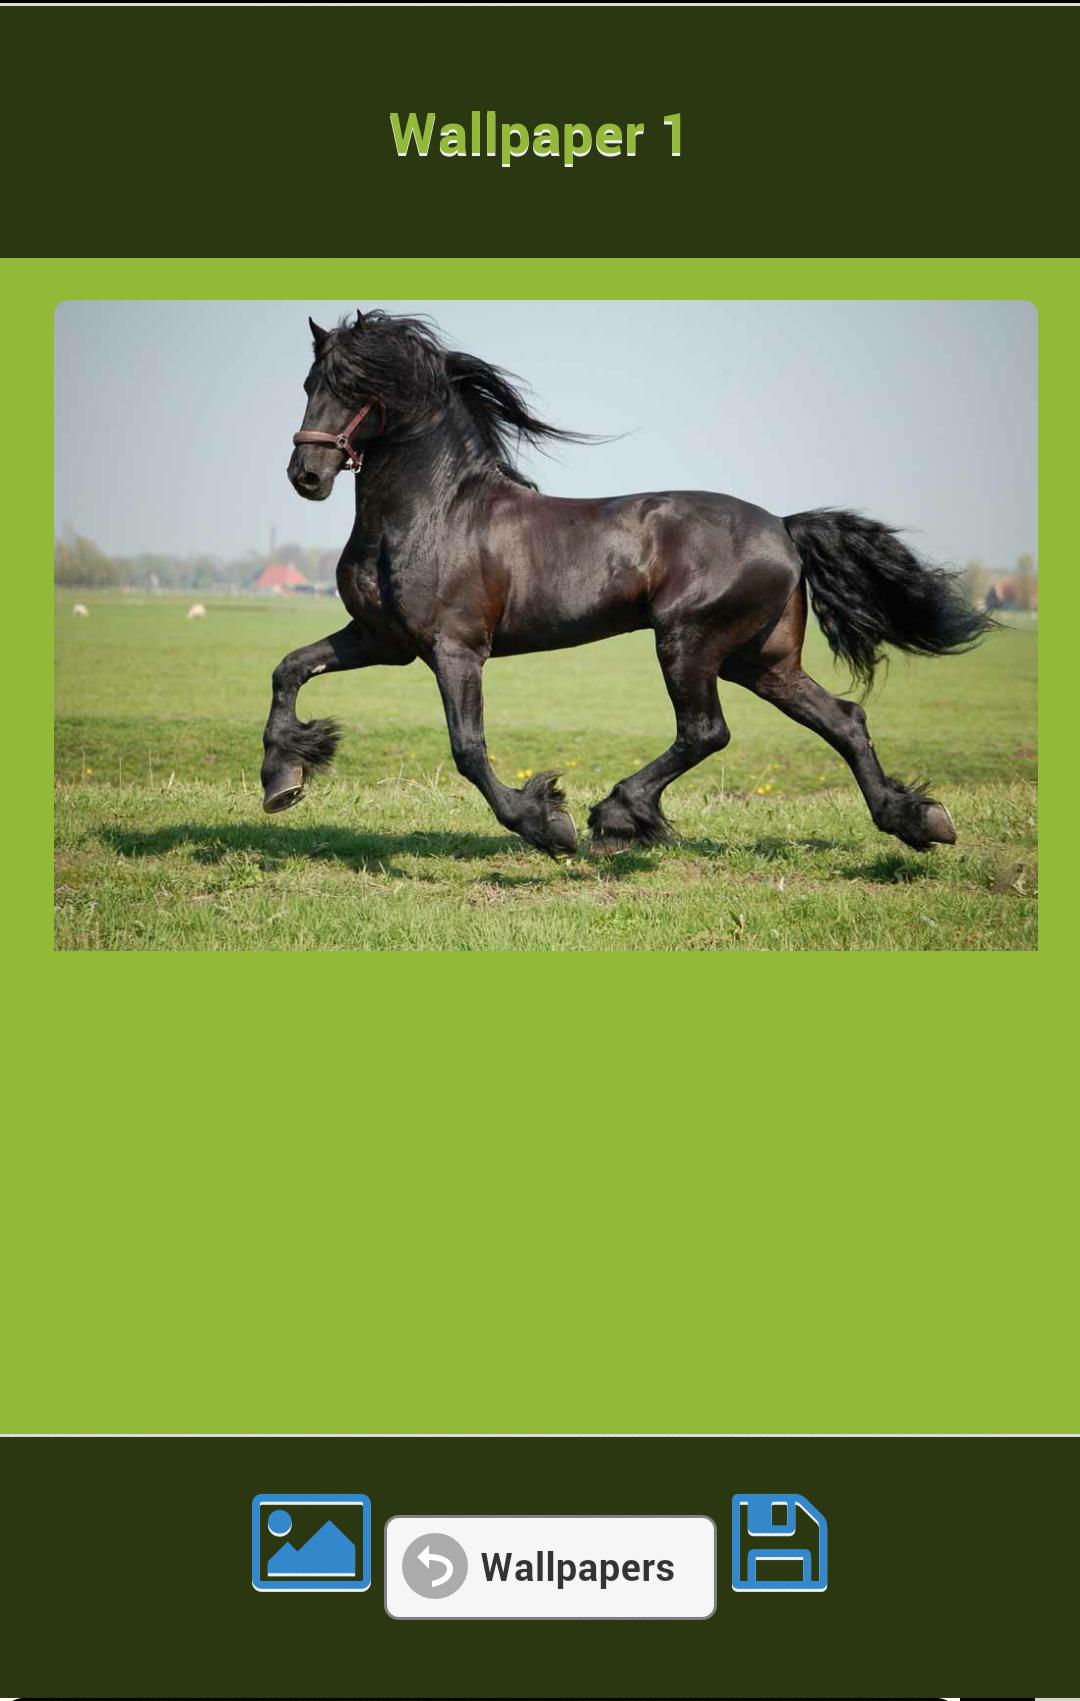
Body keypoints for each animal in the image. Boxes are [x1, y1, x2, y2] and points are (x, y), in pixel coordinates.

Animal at [262, 310, 991, 859]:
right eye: (309, 381)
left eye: (361, 387)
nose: (306, 476)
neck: (433, 511)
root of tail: (784, 528)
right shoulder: (381, 639)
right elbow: (289, 668)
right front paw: (283, 776)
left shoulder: (455, 648)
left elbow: (468, 748)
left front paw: (546, 824)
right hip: (761, 660)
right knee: (843, 720)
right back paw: (917, 820)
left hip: (689, 643)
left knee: (706, 732)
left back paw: (615, 815)